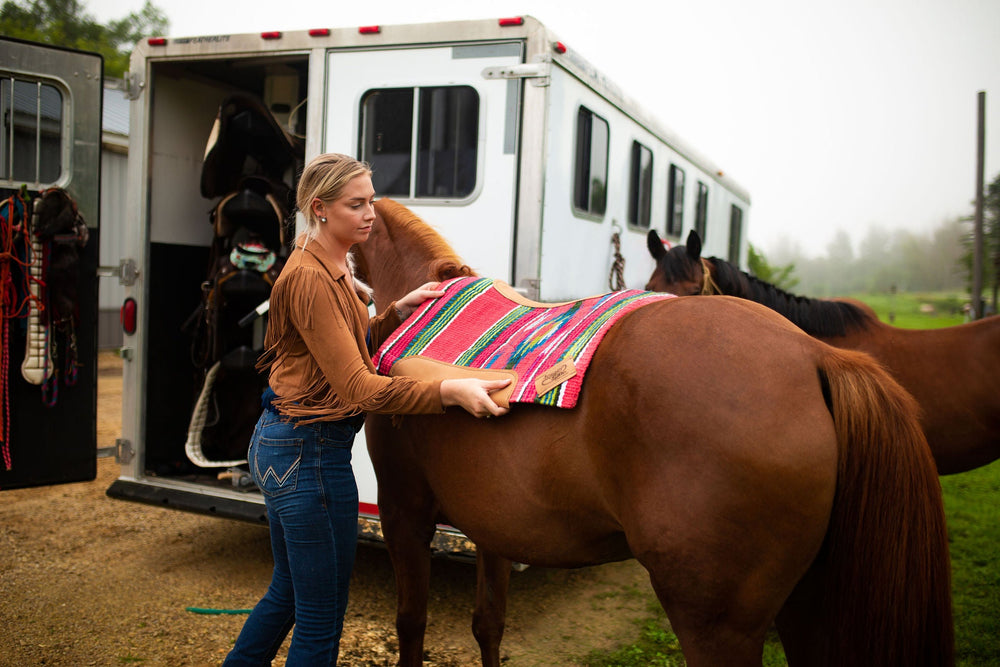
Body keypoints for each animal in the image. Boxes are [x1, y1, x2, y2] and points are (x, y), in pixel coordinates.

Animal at [354, 200, 952, 667]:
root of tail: (816, 355)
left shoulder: (405, 514)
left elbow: (411, 623)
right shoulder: (491, 528)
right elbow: (488, 624)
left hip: (716, 624)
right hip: (809, 605)